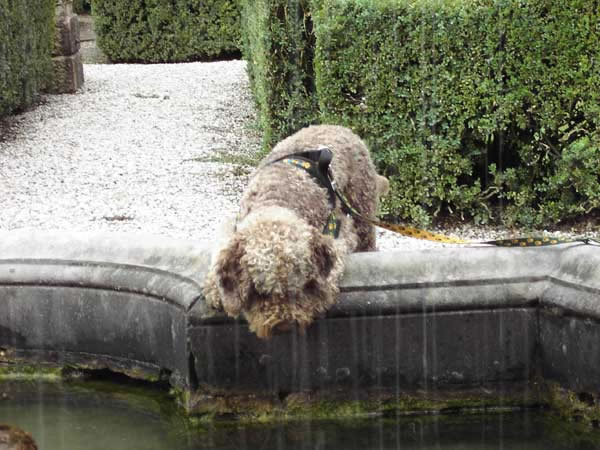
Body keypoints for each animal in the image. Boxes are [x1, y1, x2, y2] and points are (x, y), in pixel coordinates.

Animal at [203, 125, 389, 339]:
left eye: (298, 287)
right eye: (260, 292)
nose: (283, 325)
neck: (276, 201)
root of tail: (339, 126)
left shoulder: (338, 229)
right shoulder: (232, 225)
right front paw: (215, 289)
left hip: (362, 201)